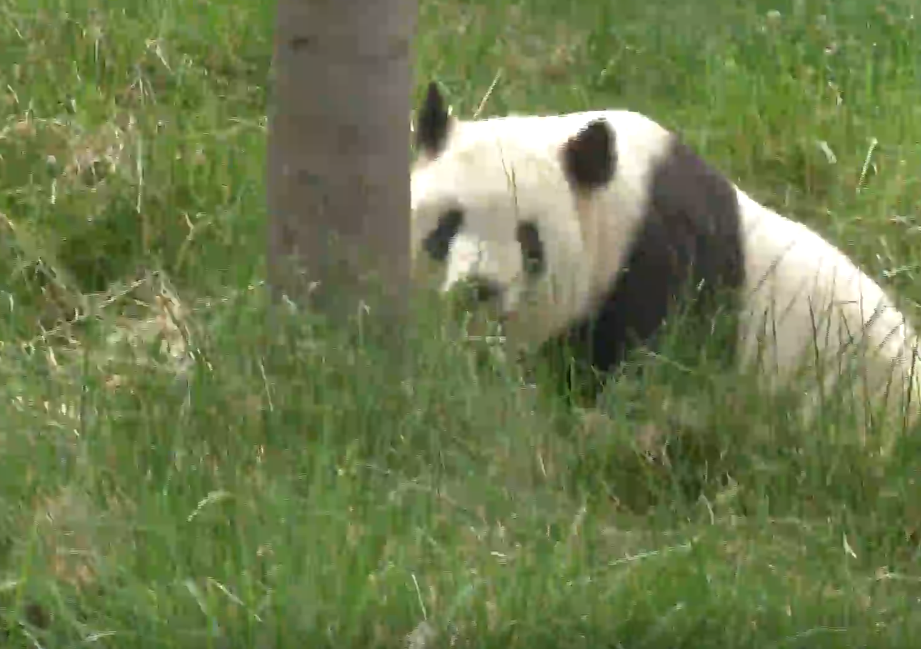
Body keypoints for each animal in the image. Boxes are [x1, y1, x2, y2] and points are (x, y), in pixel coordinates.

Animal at [412, 79, 920, 446]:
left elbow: (641, 362)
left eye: (529, 239)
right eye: (448, 224)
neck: (619, 199)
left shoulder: (660, 266)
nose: (479, 287)